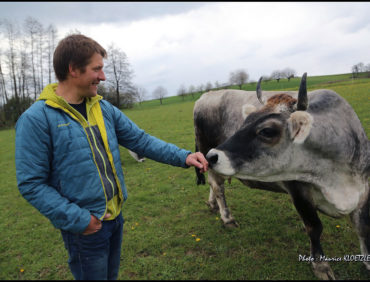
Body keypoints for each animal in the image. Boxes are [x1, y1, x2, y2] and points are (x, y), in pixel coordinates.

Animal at [194, 73, 370, 280]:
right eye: (245, 122)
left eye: (267, 131)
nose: (213, 155)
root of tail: (207, 95)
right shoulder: (298, 188)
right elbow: (314, 227)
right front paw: (320, 265)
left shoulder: (363, 189)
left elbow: (362, 226)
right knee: (217, 186)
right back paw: (227, 217)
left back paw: (212, 204)